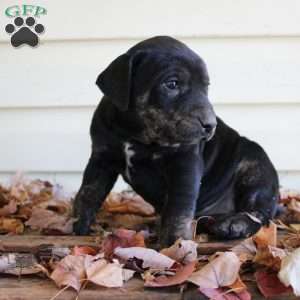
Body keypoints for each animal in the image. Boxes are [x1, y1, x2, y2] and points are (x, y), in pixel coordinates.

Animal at [72, 35, 278, 246]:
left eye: (206, 87)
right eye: (172, 84)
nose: (210, 125)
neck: (135, 132)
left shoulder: (184, 162)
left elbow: (178, 206)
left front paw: (174, 241)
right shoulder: (102, 158)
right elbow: (89, 192)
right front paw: (79, 224)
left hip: (254, 167)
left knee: (259, 212)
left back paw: (235, 224)